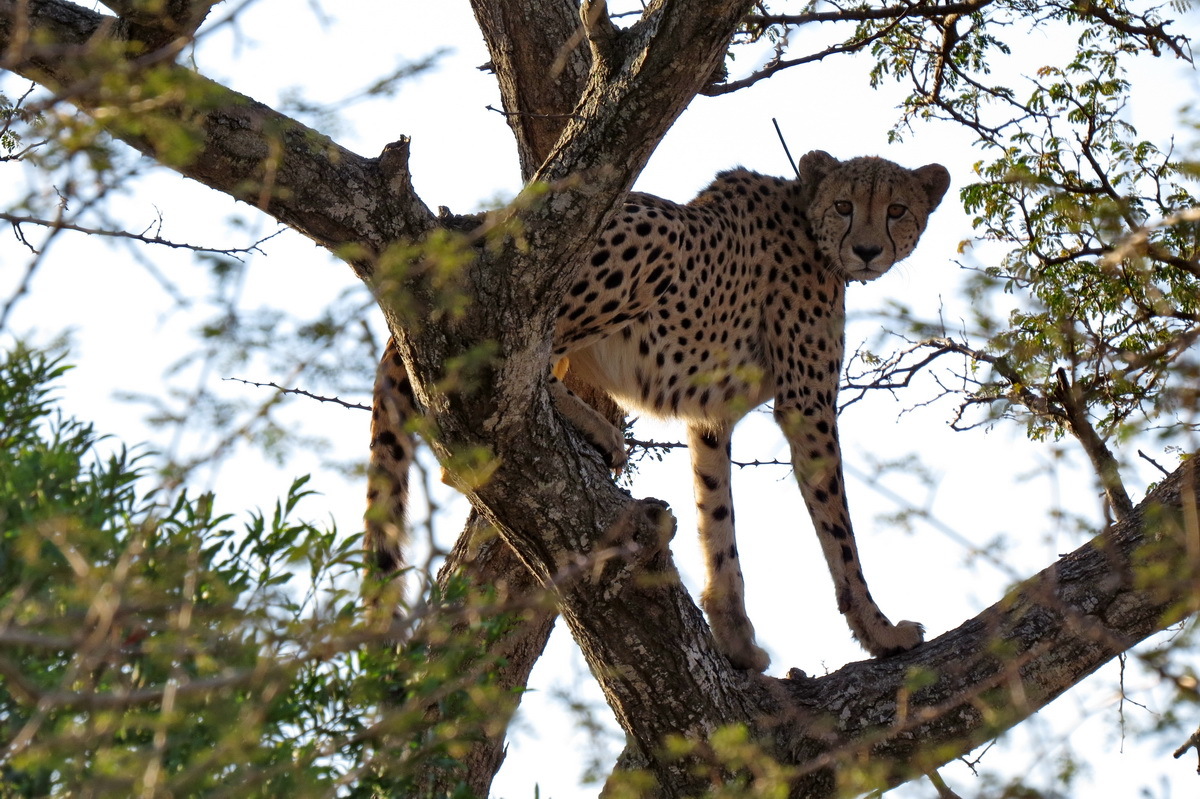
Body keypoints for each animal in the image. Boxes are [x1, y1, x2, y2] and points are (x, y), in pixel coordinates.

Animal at [369, 147, 950, 667]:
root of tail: (479, 224)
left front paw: (735, 639)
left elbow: (717, 516)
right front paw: (879, 631)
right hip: (655, 232)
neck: (809, 225)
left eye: (897, 209)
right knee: (514, 359)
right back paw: (596, 428)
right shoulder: (807, 406)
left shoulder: (712, 417)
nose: (869, 250)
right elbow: (839, 530)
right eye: (845, 205)